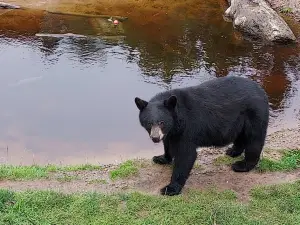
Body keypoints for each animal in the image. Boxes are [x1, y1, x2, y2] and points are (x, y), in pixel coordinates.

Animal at [134, 75, 270, 195]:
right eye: (149, 123)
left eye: (161, 122)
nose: (155, 138)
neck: (177, 118)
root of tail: (262, 90)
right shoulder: (171, 131)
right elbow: (167, 143)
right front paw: (161, 158)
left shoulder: (188, 128)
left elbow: (185, 155)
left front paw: (170, 188)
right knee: (241, 136)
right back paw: (232, 151)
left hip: (255, 114)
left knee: (254, 139)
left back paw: (242, 165)